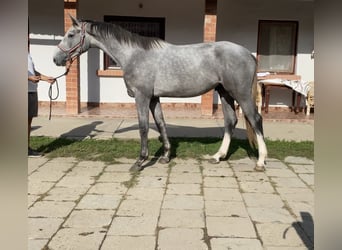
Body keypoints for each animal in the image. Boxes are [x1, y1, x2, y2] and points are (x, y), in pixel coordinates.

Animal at [53, 16, 268, 172]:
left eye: (71, 34)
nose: (56, 59)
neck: (134, 55)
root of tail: (248, 54)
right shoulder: (154, 98)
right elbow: (161, 123)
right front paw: (165, 156)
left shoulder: (142, 97)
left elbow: (143, 127)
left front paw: (139, 162)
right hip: (225, 93)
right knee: (230, 121)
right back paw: (218, 156)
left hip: (240, 94)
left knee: (255, 119)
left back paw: (260, 162)